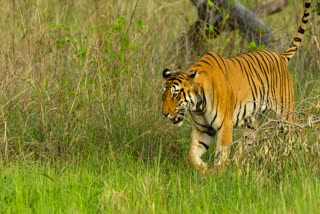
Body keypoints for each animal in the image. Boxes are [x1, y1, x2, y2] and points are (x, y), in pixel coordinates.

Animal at [161, 0, 312, 176]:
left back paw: (304, 159)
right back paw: (240, 163)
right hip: (252, 122)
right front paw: (204, 169)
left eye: (175, 95)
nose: (165, 114)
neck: (198, 106)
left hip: (285, 113)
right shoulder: (203, 130)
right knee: (248, 143)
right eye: (163, 96)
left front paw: (218, 174)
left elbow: (221, 153)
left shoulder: (225, 125)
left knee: (299, 132)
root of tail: (279, 56)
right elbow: (192, 153)